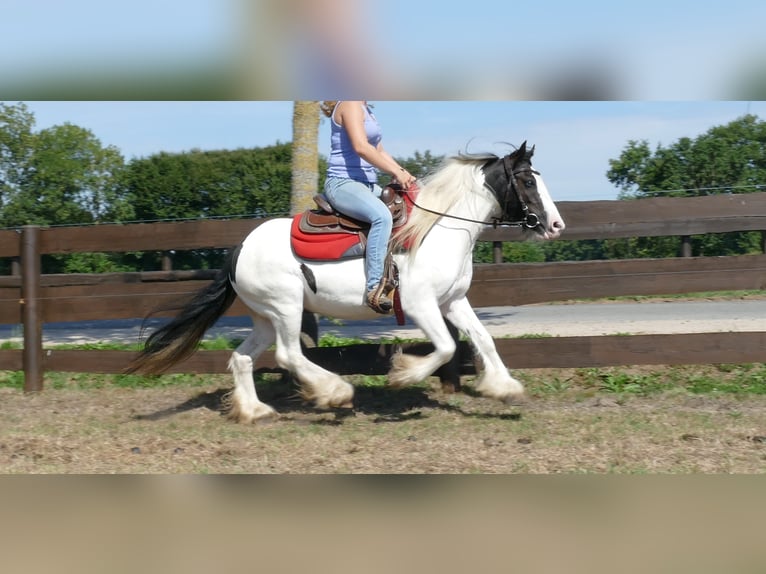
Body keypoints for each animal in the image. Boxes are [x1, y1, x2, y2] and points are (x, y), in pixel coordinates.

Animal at [129, 142, 568, 426]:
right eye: (528, 182)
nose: (556, 225)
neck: (436, 229)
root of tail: (239, 248)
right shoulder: (422, 304)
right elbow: (445, 347)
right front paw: (402, 375)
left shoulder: (453, 301)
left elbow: (483, 339)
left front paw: (504, 387)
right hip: (287, 307)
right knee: (289, 355)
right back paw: (335, 393)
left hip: (265, 317)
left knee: (243, 358)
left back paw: (255, 412)